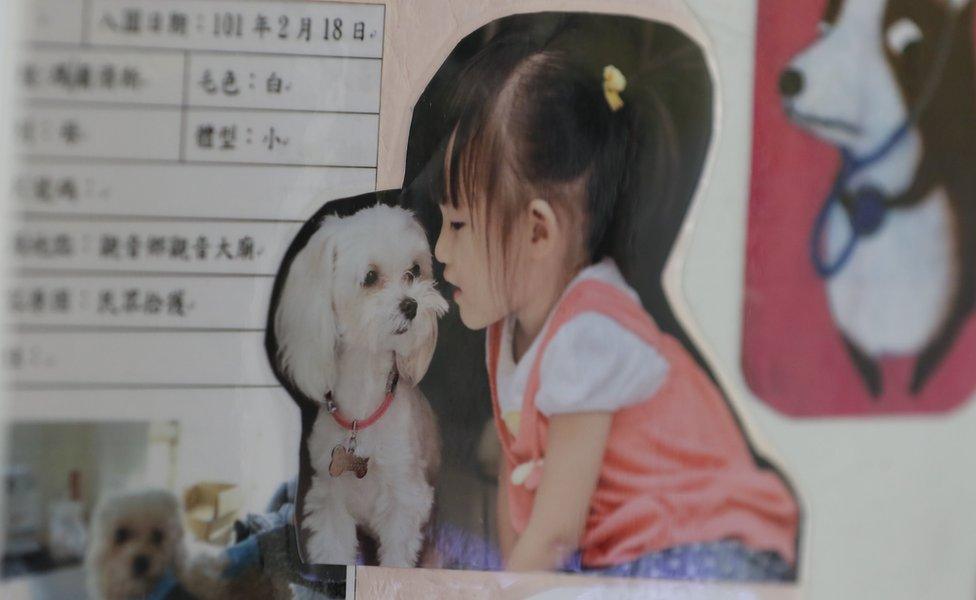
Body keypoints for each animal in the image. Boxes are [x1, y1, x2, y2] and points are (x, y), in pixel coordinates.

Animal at [272, 205, 444, 568]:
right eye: (369, 277)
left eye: (415, 270)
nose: (411, 305)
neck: (362, 413)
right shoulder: (330, 502)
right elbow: (334, 545)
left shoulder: (404, 498)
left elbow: (397, 555)